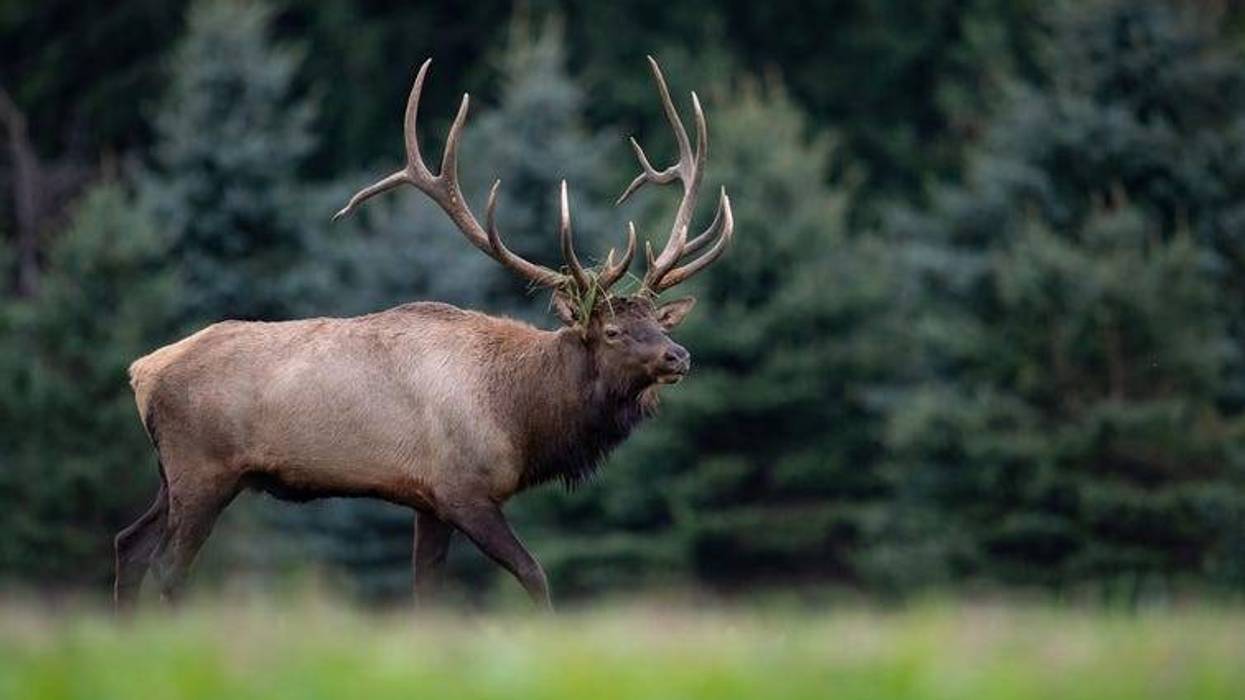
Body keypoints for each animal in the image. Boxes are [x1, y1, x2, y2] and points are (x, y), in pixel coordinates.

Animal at [114, 56, 733, 610]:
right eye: (611, 331)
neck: (520, 415)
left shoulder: (427, 501)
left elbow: (427, 594)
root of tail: (143, 371)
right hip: (204, 469)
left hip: (173, 474)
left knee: (128, 544)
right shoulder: (462, 489)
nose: (678, 357)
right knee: (167, 568)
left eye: (656, 320)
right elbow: (535, 575)